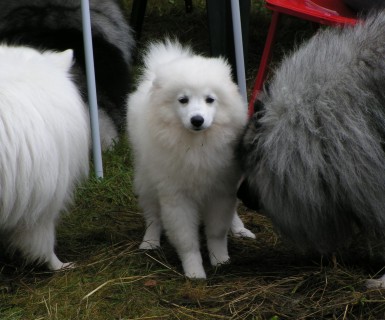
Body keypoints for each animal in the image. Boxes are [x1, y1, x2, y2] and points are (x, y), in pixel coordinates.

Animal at [127, 40, 252, 278]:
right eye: (183, 100)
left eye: (210, 99)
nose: (197, 120)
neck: (196, 145)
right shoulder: (177, 198)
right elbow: (187, 241)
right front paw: (195, 273)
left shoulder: (220, 191)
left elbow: (217, 232)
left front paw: (220, 260)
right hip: (147, 178)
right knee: (153, 214)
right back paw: (150, 241)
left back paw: (239, 228)